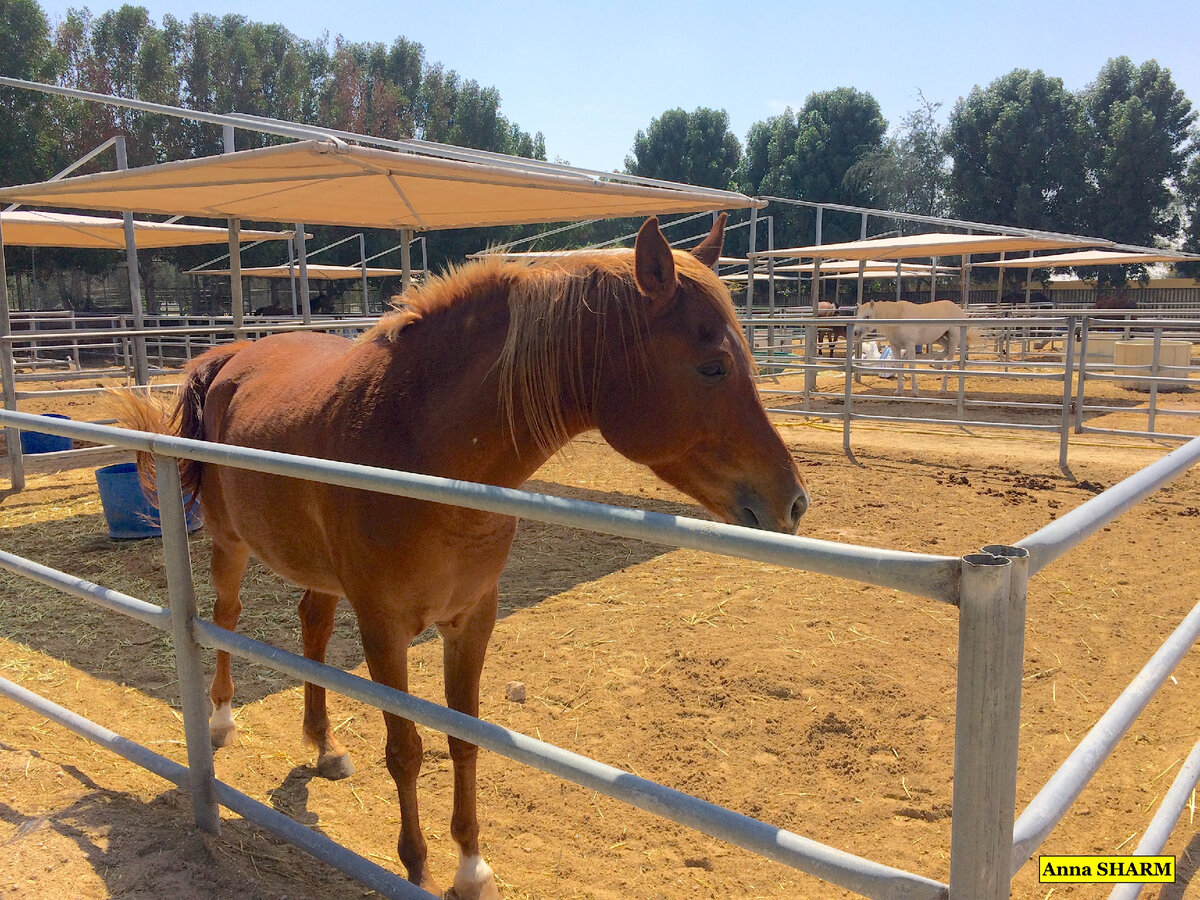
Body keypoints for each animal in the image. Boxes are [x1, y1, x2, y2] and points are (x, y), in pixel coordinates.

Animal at [117, 218, 806, 900]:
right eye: (713, 367)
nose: (793, 502)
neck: (420, 443)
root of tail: (225, 357)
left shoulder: (472, 618)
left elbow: (464, 738)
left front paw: (471, 867)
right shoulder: (383, 625)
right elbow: (405, 747)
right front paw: (417, 867)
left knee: (312, 624)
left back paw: (324, 745)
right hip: (229, 545)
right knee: (225, 617)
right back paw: (220, 721)